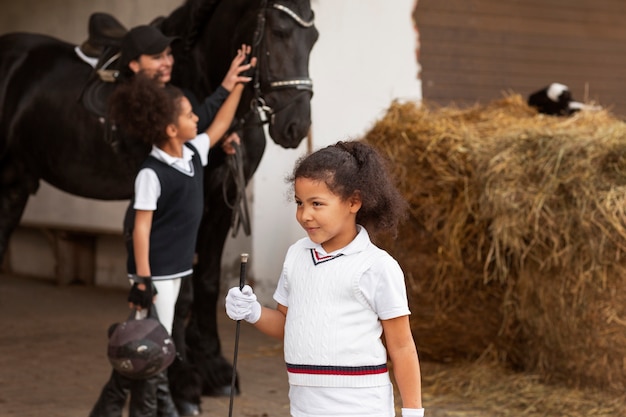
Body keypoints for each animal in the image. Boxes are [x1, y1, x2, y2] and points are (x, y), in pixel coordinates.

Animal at [0, 0, 316, 410]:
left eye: (314, 37)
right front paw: (184, 384)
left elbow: (208, 281)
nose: (296, 126)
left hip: (16, 183)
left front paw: (216, 369)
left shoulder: (222, 201)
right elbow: (183, 292)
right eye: (279, 32)